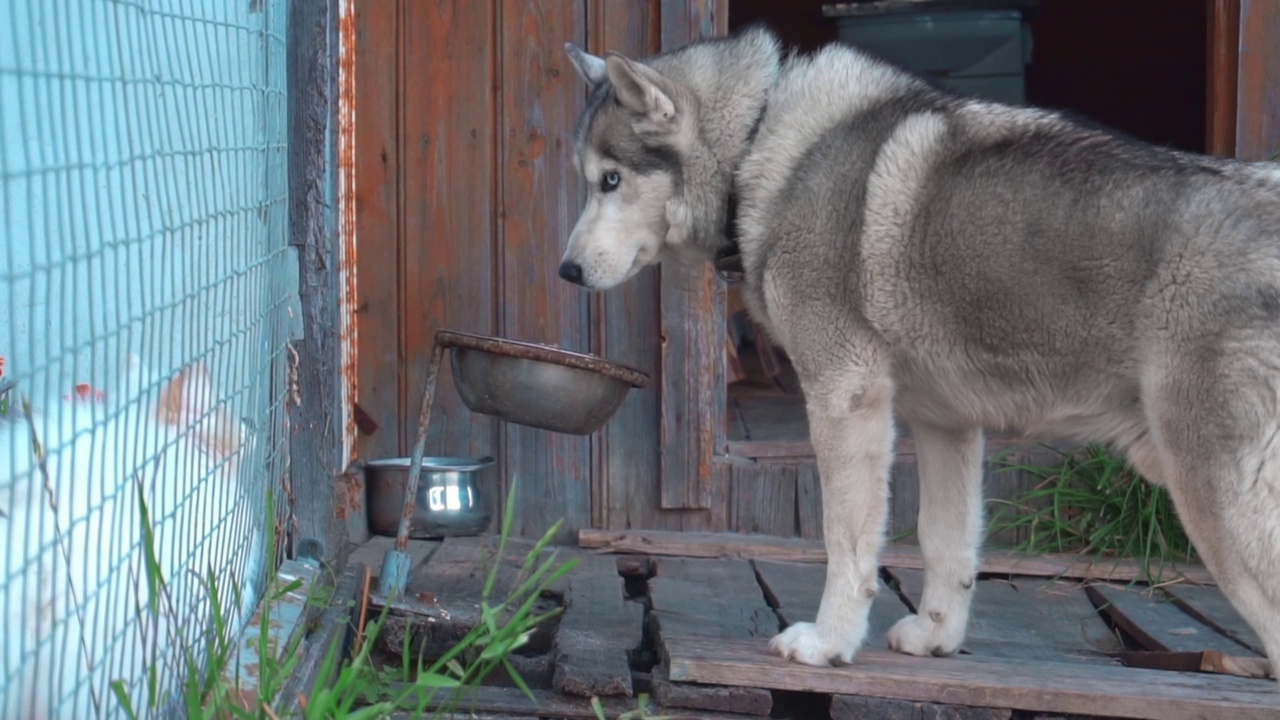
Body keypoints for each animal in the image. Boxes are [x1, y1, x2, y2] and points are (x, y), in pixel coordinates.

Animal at [560, 25, 1280, 671]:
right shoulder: (946, 425)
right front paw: (937, 635)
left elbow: (846, 542)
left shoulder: (844, 398)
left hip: (1213, 498)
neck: (758, 143)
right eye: (590, 181)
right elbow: (945, 542)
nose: (565, 271)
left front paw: (828, 644)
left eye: (611, 181)